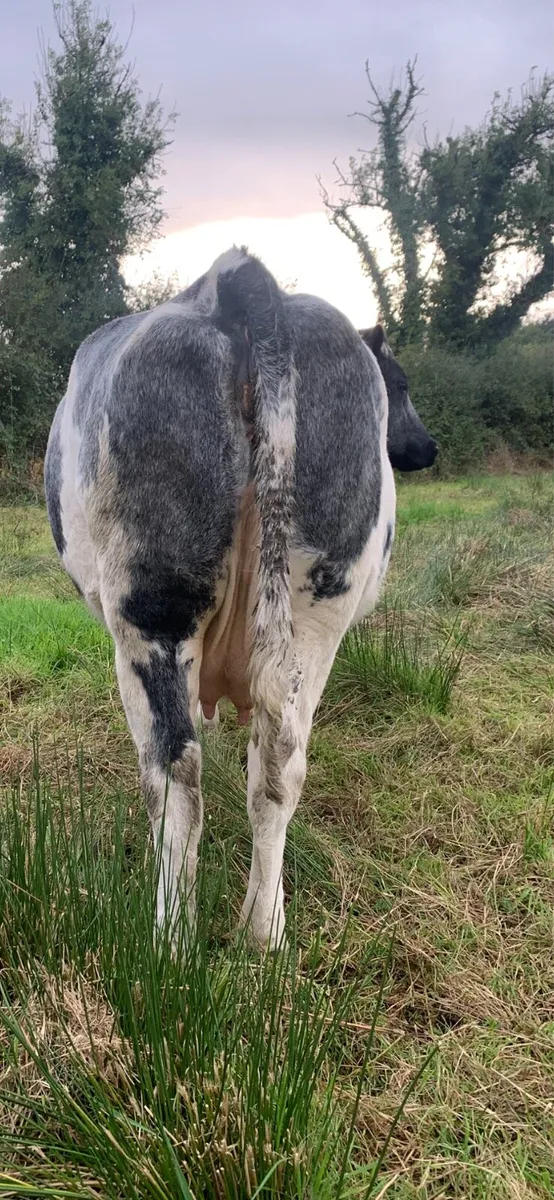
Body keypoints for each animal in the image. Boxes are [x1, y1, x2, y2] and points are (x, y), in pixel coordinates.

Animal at [44, 248, 437, 950]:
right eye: (400, 382)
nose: (427, 448)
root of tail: (232, 285)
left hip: (153, 611)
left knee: (174, 776)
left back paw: (171, 944)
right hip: (314, 612)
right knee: (280, 767)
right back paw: (265, 931)